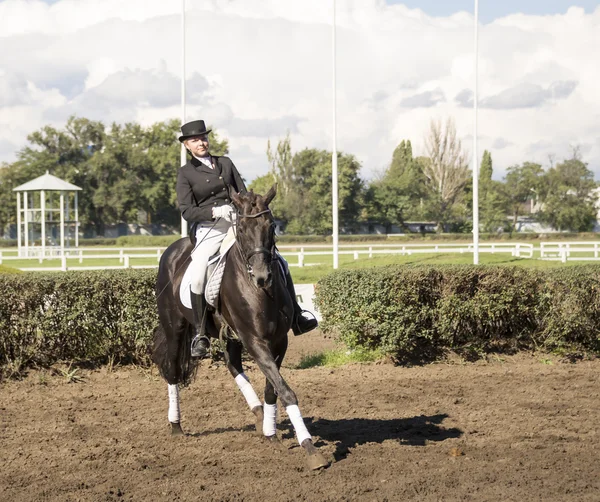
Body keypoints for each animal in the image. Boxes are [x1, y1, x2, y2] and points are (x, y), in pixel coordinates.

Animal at [150, 184, 328, 470]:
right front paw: (310, 449)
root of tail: (174, 250)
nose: (262, 277)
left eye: (271, 226)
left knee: (233, 366)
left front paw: (270, 433)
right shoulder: (254, 340)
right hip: (174, 326)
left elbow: (272, 388)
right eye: (241, 228)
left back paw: (258, 416)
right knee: (173, 369)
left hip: (231, 337)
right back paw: (175, 425)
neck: (260, 292)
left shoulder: (279, 341)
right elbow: (285, 391)